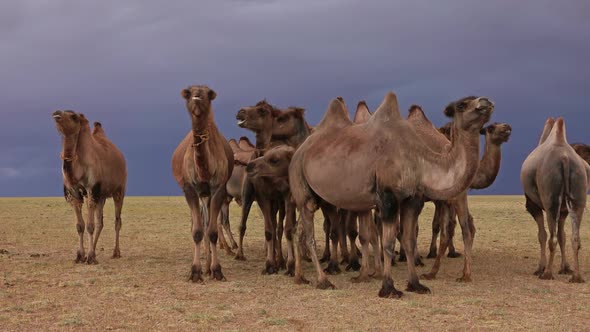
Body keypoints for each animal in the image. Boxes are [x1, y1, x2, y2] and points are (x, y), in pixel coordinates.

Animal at [52, 111, 128, 264]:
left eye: (73, 116)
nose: (56, 114)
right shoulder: (74, 193)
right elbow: (80, 226)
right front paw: (81, 255)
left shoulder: (92, 189)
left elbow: (89, 226)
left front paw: (90, 256)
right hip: (102, 196)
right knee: (100, 222)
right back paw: (93, 252)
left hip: (119, 190)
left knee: (117, 221)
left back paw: (115, 252)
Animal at [172, 84, 235, 282]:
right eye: (189, 92)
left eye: (208, 93)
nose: (197, 96)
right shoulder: (189, 189)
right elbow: (197, 231)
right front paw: (195, 272)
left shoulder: (218, 189)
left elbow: (212, 231)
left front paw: (216, 270)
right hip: (200, 194)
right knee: (201, 224)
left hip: (207, 195)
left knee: (208, 225)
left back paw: (208, 267)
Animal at [235, 102, 312, 274]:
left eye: (262, 111)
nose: (240, 111)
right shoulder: (263, 195)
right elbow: (269, 230)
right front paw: (270, 264)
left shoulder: (287, 195)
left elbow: (288, 229)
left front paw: (289, 264)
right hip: (248, 194)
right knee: (244, 223)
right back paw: (240, 254)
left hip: (278, 203)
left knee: (280, 226)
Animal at [290, 92, 494, 296]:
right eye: (462, 105)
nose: (486, 102)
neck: (420, 160)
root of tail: (299, 150)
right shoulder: (388, 198)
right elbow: (388, 243)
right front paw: (388, 287)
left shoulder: (412, 199)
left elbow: (409, 240)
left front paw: (416, 284)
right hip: (301, 183)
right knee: (308, 233)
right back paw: (323, 280)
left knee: (298, 230)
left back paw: (300, 277)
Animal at [524, 117, 590, 282]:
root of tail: (565, 159)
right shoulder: (564, 211)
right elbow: (563, 236)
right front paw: (565, 268)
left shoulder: (533, 205)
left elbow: (542, 235)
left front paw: (540, 268)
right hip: (578, 195)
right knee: (575, 238)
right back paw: (576, 276)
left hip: (551, 200)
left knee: (551, 238)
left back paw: (547, 273)